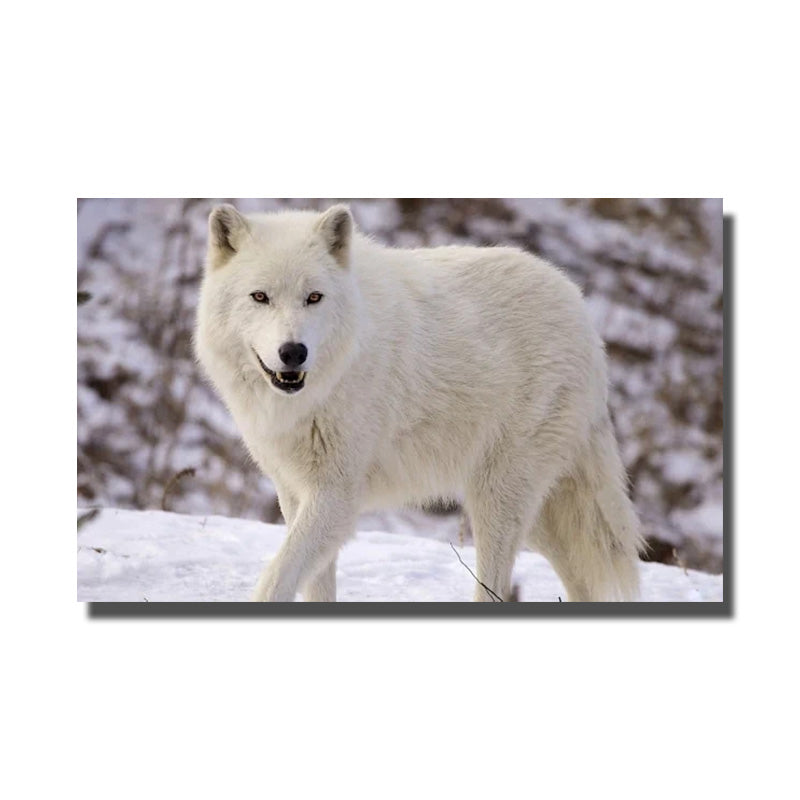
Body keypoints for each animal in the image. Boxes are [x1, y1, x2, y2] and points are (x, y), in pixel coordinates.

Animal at [195, 203, 645, 602]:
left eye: (314, 297)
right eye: (260, 297)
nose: (293, 352)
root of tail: (582, 311)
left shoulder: (336, 494)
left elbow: (277, 577)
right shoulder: (293, 492)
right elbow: (314, 584)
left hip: (499, 499)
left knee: (494, 585)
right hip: (539, 516)